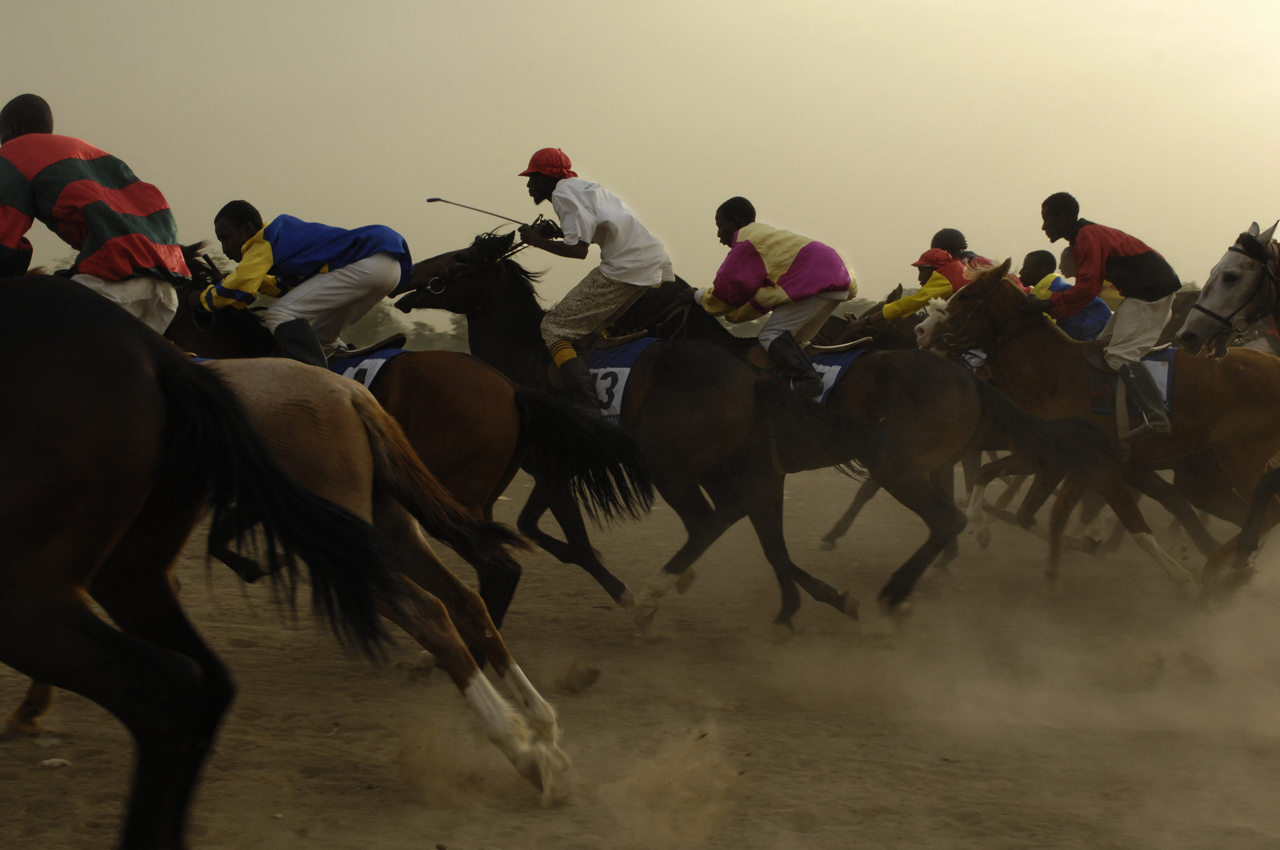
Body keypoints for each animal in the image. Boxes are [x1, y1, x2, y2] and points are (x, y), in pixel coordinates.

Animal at [7, 358, 570, 803]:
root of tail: (348, 393)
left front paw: (31, 708)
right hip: (388, 527)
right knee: (466, 601)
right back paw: (542, 726)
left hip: (339, 544)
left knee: (430, 611)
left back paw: (522, 750)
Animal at [170, 245, 650, 624]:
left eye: (175, 314)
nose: (166, 346)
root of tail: (513, 390)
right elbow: (221, 536)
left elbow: (221, 537)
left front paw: (260, 564)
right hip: (475, 500)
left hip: (453, 494)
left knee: (500, 570)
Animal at [921, 258, 1280, 591]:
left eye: (966, 295)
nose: (922, 331)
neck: (1055, 373)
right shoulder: (1048, 456)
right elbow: (1001, 490)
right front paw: (980, 524)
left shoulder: (1094, 463)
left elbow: (1131, 527)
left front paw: (1186, 581)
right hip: (1206, 477)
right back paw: (1232, 567)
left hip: (1241, 459)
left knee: (1266, 509)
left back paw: (1220, 571)